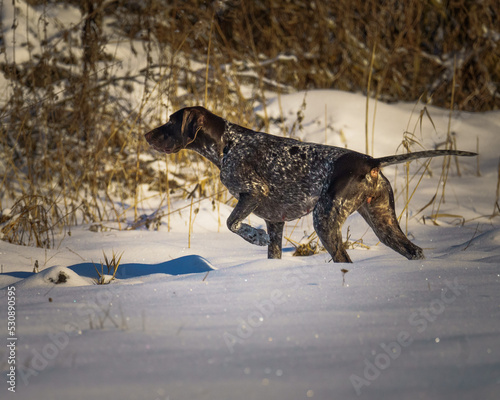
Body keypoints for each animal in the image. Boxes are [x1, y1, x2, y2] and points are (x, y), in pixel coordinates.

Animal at [145, 106, 476, 262]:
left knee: (344, 258)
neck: (228, 144)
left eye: (171, 121)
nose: (146, 135)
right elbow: (272, 251)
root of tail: (370, 161)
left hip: (325, 219)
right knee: (414, 251)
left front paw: (254, 237)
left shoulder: (253, 193)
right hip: (384, 223)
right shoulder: (275, 221)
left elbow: (232, 223)